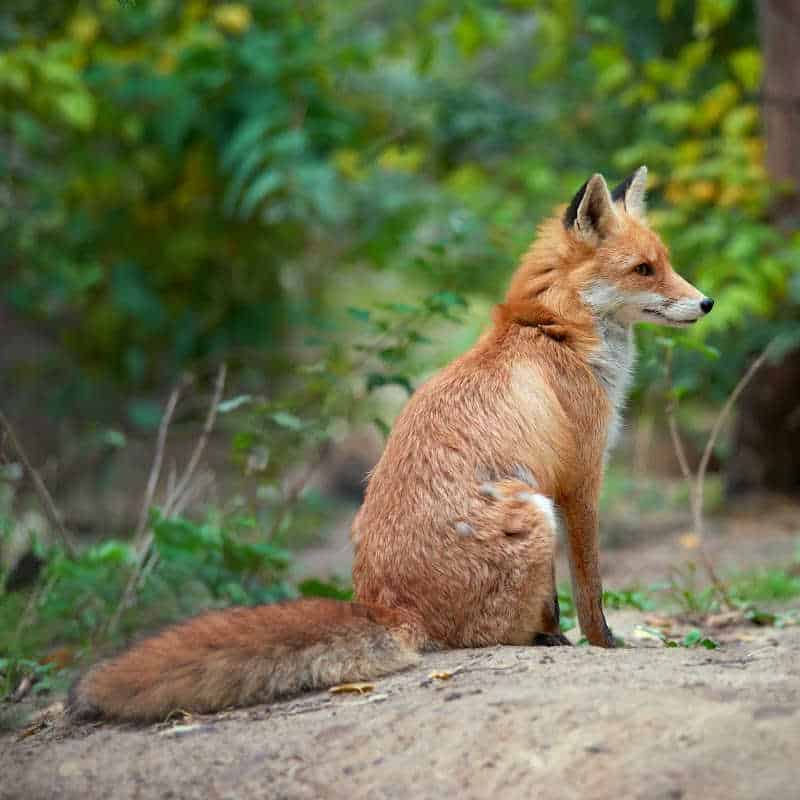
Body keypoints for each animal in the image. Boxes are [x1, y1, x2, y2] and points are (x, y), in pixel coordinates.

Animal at [68, 166, 713, 722]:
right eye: (644, 269)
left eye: (666, 263)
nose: (706, 302)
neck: (554, 334)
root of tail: (392, 606)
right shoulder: (578, 482)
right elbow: (590, 589)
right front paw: (604, 645)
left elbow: (567, 594)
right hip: (533, 512)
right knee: (492, 634)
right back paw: (536, 639)